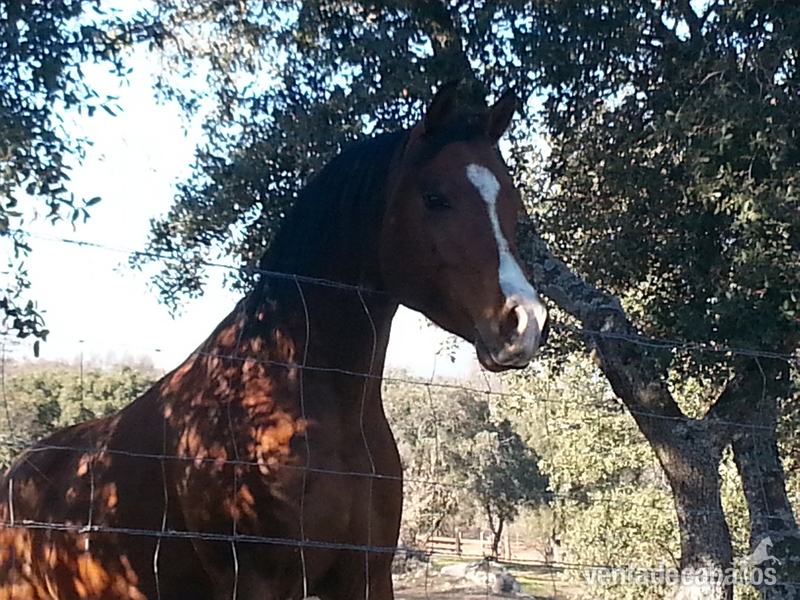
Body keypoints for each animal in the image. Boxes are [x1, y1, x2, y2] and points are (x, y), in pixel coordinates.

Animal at [0, 82, 548, 600]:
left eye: (513, 206)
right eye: (435, 197)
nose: (524, 322)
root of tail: (18, 474)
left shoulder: (365, 577)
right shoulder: (258, 580)